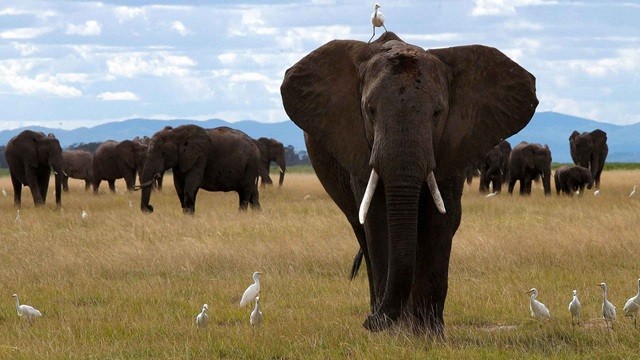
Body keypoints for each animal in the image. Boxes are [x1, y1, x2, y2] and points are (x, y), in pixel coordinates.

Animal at [282, 32, 536, 334]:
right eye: (369, 110)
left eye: (437, 113)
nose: (368, 322)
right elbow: (379, 220)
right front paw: (393, 333)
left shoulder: (454, 145)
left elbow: (439, 221)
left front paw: (429, 335)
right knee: (361, 231)